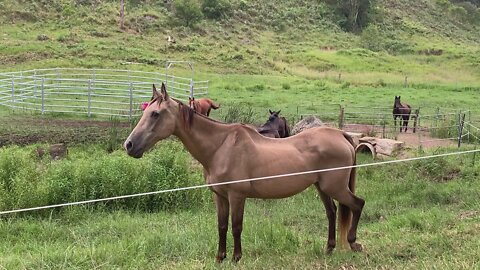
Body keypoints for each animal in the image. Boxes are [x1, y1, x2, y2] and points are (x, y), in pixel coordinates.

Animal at [123, 84, 364, 262]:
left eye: (155, 114)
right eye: (145, 111)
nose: (129, 145)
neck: (220, 146)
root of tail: (341, 134)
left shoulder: (237, 196)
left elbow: (236, 226)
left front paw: (236, 257)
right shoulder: (219, 196)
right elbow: (222, 226)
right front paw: (220, 257)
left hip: (335, 187)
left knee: (357, 204)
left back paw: (353, 242)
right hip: (322, 187)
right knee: (332, 212)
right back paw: (329, 249)